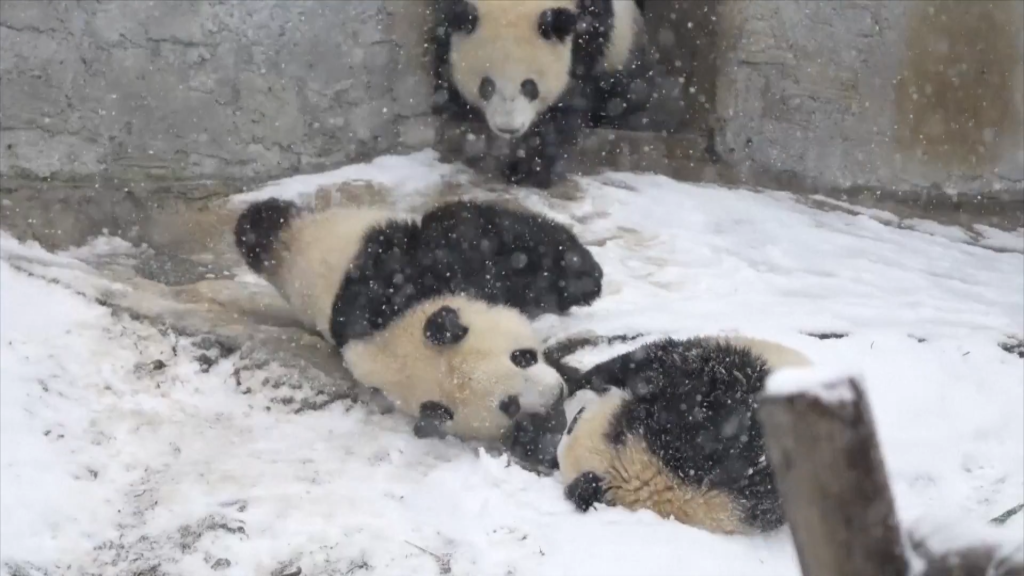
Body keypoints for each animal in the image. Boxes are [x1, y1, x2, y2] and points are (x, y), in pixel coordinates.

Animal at [430, 0, 647, 188]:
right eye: (487, 86)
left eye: (529, 86)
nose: (508, 129)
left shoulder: (591, 27)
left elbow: (570, 99)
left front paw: (528, 170)